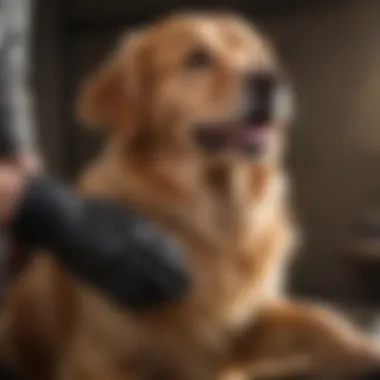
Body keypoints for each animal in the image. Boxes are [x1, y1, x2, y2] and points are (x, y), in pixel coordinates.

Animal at [2, 10, 380, 380]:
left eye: (257, 56)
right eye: (197, 58)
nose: (272, 79)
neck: (213, 221)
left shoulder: (246, 326)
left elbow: (319, 319)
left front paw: (365, 350)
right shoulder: (95, 359)